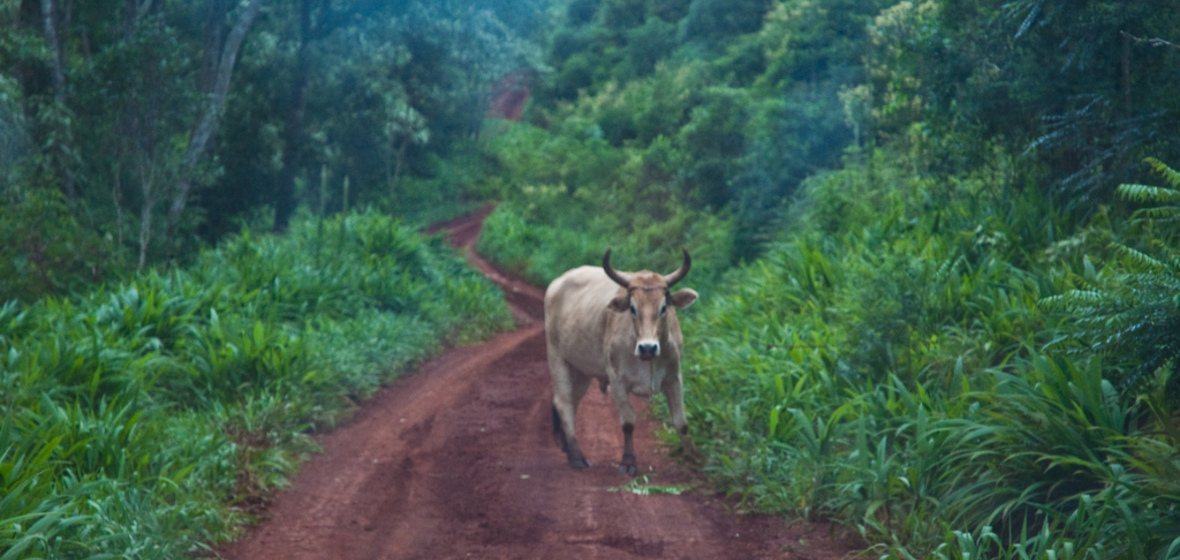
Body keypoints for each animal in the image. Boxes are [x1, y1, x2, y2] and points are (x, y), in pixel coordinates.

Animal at [545, 248, 698, 473]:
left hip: (580, 371)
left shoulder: (674, 377)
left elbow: (681, 422)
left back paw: (569, 450)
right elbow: (628, 423)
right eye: (632, 308)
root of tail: (557, 283)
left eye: (663, 308)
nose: (647, 347)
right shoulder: (617, 379)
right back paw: (577, 457)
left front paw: (691, 457)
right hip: (557, 358)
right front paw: (628, 461)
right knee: (563, 403)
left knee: (572, 403)